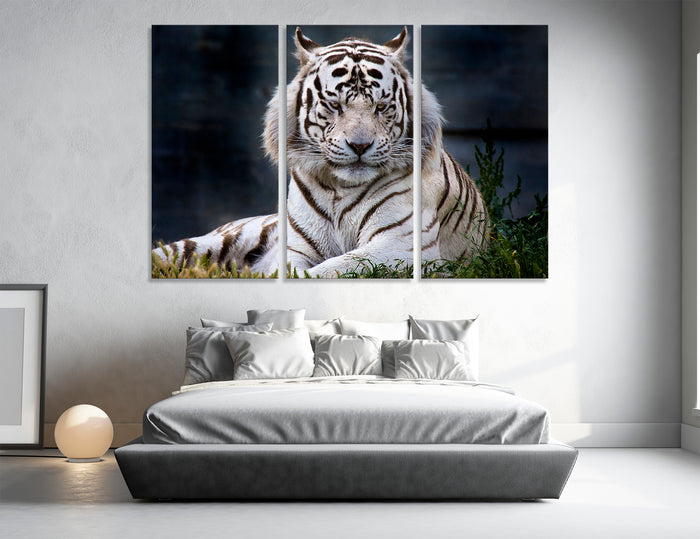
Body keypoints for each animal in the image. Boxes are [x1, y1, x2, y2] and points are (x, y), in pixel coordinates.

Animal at [153, 27, 489, 278]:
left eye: (381, 106)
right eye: (334, 105)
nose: (360, 145)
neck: (341, 188)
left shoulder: (398, 245)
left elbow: (334, 268)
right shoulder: (296, 248)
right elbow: (292, 270)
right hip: (207, 243)